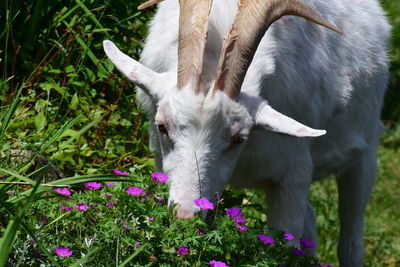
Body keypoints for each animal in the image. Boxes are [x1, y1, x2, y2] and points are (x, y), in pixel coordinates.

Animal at [104, 0, 390, 266]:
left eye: (238, 138)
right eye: (163, 127)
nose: (185, 216)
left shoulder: (292, 177)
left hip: (365, 152)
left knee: (350, 239)